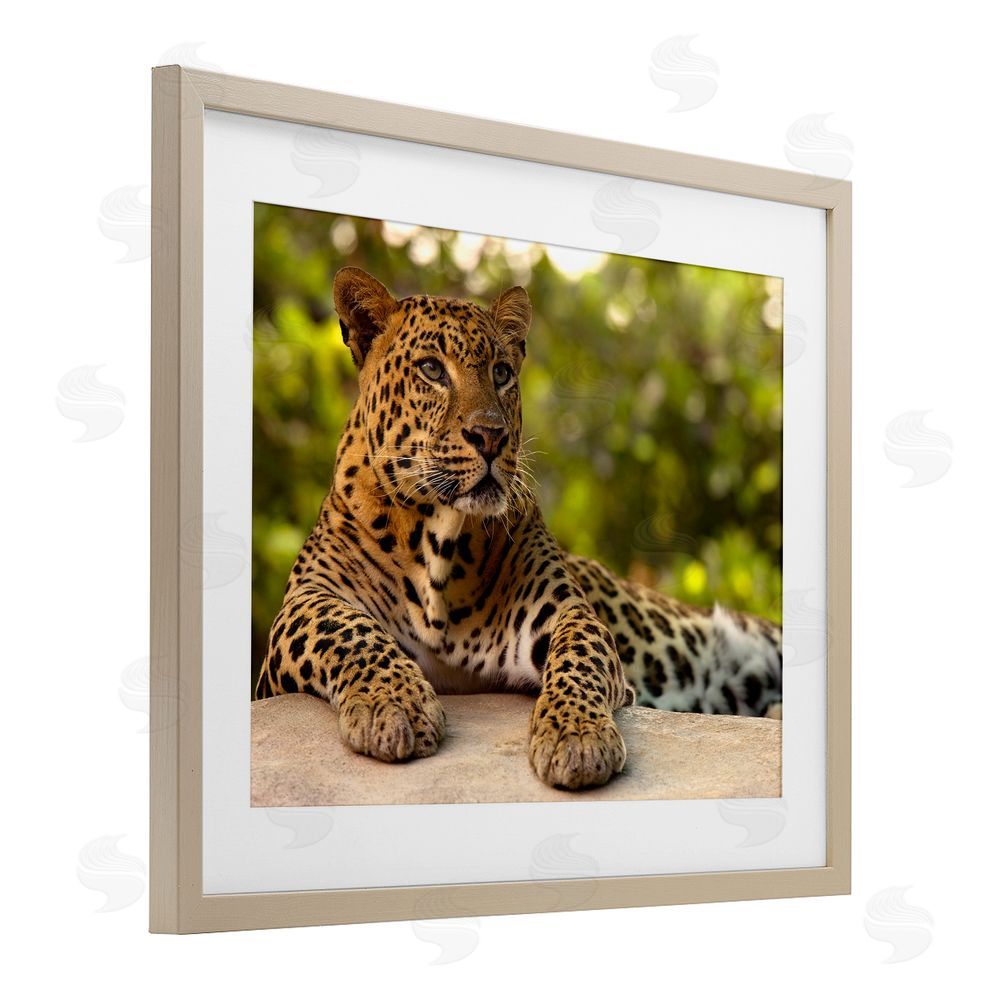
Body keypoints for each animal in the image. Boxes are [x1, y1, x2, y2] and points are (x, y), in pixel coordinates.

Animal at [254, 266, 782, 790]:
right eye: (431, 370)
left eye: (502, 373)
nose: (491, 436)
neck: (438, 539)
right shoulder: (301, 606)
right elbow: (346, 630)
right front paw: (394, 705)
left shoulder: (564, 611)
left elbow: (579, 654)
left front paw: (577, 737)